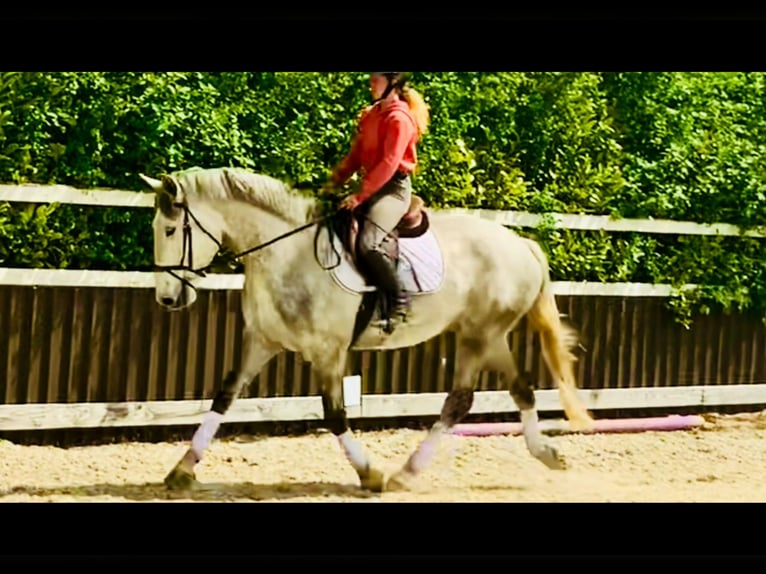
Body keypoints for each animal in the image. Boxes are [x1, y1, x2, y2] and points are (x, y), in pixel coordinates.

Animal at [138, 166, 596, 496]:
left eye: (170, 230)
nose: (167, 299)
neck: (284, 254)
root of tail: (522, 245)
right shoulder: (262, 342)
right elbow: (225, 395)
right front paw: (181, 470)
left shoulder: (328, 351)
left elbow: (335, 414)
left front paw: (369, 473)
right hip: (487, 334)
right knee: (520, 388)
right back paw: (544, 452)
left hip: (479, 335)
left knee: (460, 400)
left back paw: (404, 474)